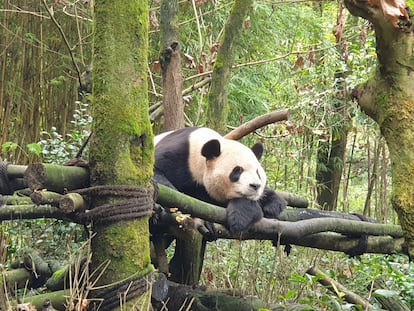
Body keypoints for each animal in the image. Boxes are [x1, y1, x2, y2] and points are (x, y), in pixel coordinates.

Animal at [154, 127, 286, 234]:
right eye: (237, 171)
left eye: (258, 172)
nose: (255, 186)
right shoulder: (179, 156)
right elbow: (156, 174)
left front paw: (242, 217)